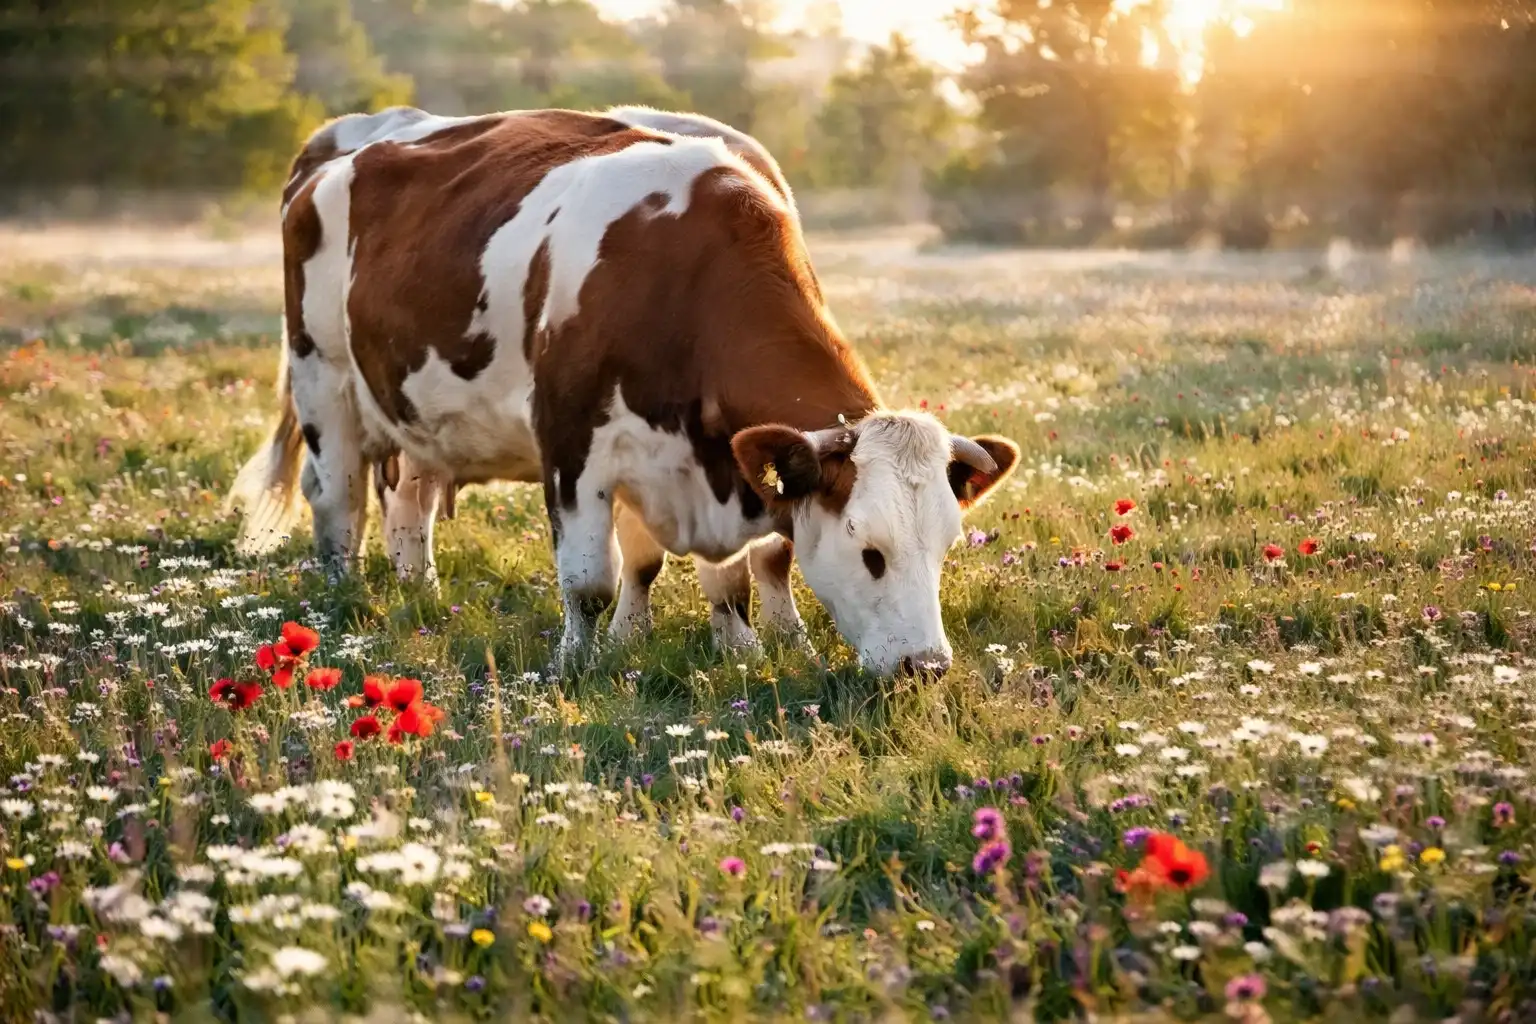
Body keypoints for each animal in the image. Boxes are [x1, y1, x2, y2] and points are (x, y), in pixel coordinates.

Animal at [228, 105, 1020, 676]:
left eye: (944, 547)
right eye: (870, 551)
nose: (926, 667)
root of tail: (346, 142)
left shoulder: (715, 464)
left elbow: (735, 569)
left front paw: (747, 650)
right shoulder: (573, 443)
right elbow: (591, 581)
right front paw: (579, 663)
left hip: (417, 409)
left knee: (409, 504)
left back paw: (420, 594)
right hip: (323, 378)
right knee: (339, 502)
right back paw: (343, 600)